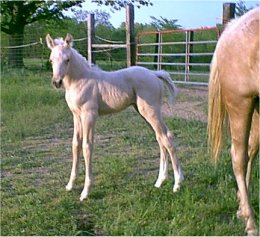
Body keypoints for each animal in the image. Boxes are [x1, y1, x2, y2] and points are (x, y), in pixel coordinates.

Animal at [45, 33, 184, 202]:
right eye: (51, 60)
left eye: (67, 59)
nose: (56, 82)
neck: (80, 80)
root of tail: (154, 74)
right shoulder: (76, 116)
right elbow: (75, 145)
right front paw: (70, 185)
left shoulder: (89, 115)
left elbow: (87, 146)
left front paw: (85, 192)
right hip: (144, 112)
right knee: (160, 138)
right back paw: (160, 181)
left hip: (150, 111)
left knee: (167, 137)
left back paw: (177, 184)